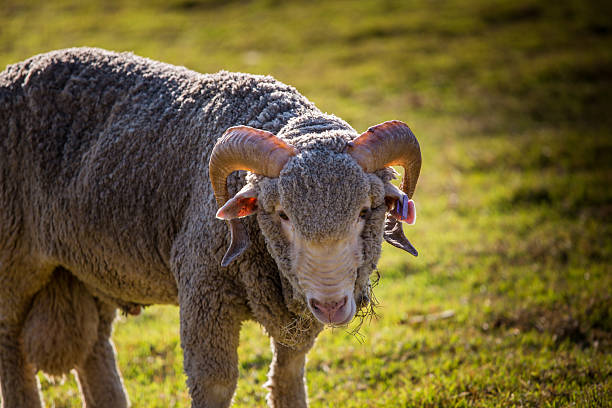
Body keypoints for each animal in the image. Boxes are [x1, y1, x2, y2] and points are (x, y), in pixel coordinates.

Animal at [0, 48, 420, 408]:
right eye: (281, 214)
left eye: (365, 210)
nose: (330, 305)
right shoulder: (204, 291)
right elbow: (215, 383)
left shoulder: (293, 313)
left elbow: (287, 376)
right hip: (12, 259)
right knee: (11, 344)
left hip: (87, 269)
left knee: (94, 348)